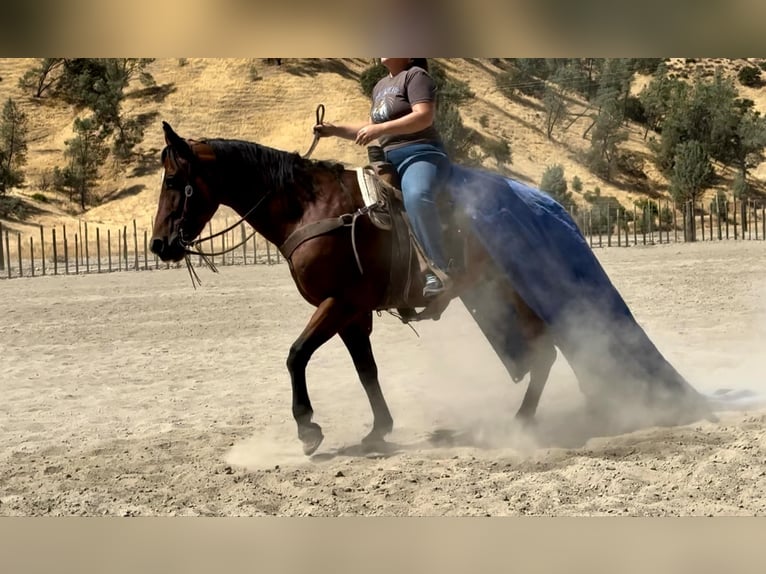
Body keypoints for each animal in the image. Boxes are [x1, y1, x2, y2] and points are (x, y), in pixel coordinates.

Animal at [150, 122, 559, 455]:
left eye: (172, 182)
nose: (158, 245)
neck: (309, 208)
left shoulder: (339, 302)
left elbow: (297, 354)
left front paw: (308, 429)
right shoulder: (353, 313)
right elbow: (366, 369)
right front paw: (379, 430)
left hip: (518, 292)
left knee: (546, 350)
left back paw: (523, 421)